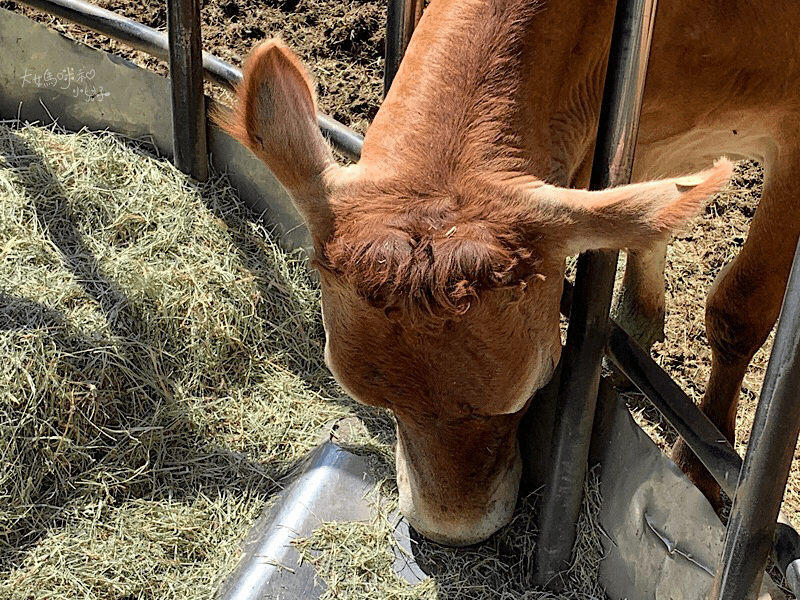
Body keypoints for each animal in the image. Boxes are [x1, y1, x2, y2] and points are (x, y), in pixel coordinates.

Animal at [220, 0, 800, 548]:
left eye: (536, 385)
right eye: (369, 398)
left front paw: (700, 472)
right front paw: (636, 330)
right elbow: (652, 226)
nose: (453, 533)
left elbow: (738, 310)